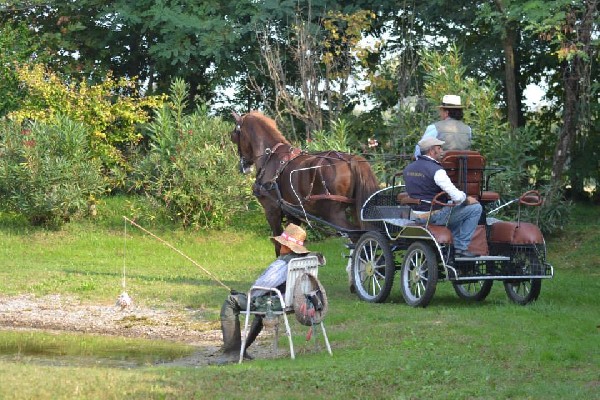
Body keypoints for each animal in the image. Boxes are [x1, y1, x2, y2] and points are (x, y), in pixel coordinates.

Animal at [231, 110, 378, 253]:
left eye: (234, 136)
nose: (244, 166)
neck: (270, 157)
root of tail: (352, 160)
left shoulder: (271, 211)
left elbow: (278, 245)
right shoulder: (293, 215)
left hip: (334, 214)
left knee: (358, 237)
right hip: (354, 209)